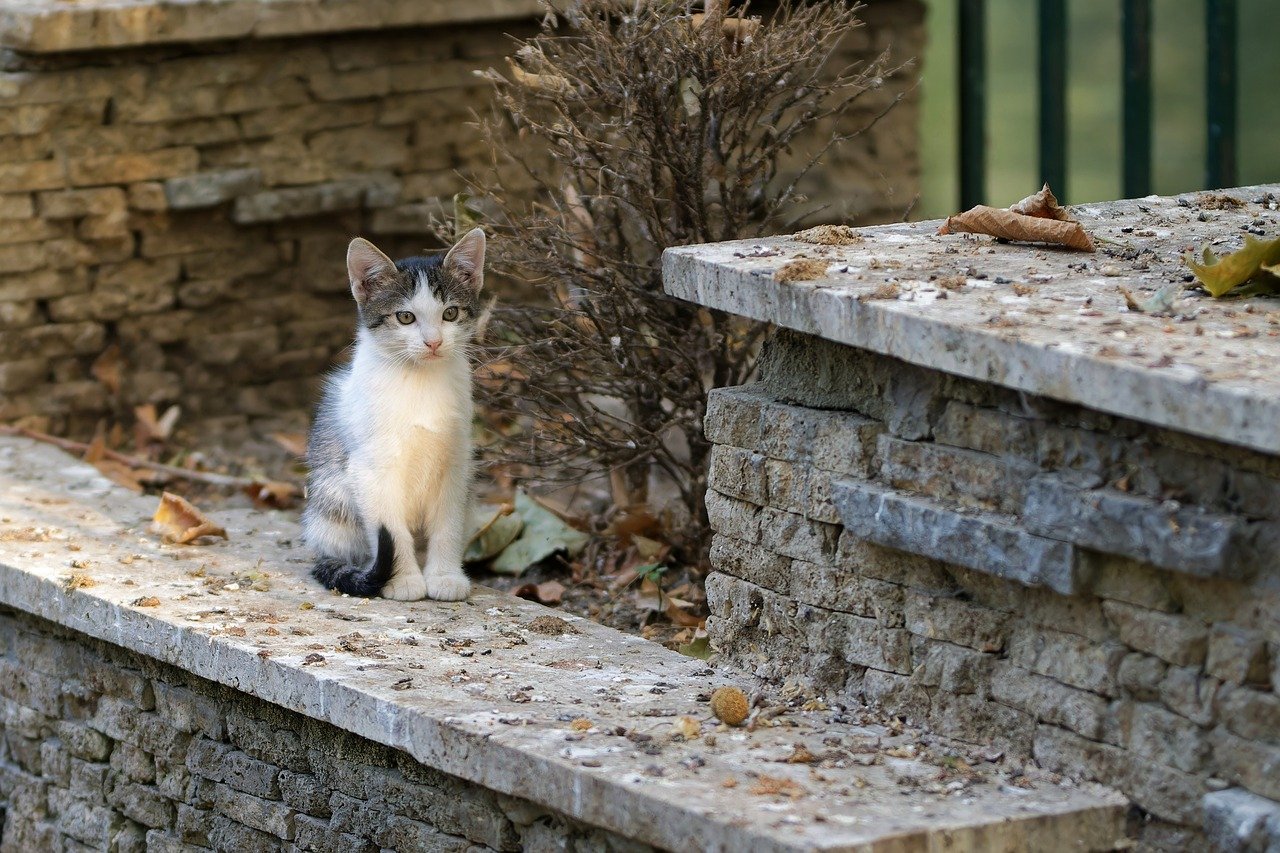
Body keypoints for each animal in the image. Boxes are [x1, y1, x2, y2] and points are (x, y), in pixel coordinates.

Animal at [302, 225, 486, 596]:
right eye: (405, 317)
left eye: (450, 313)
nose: (433, 342)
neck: (420, 382)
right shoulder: (371, 469)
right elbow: (391, 530)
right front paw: (403, 581)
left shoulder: (457, 461)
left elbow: (448, 523)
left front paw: (445, 576)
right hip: (332, 501)